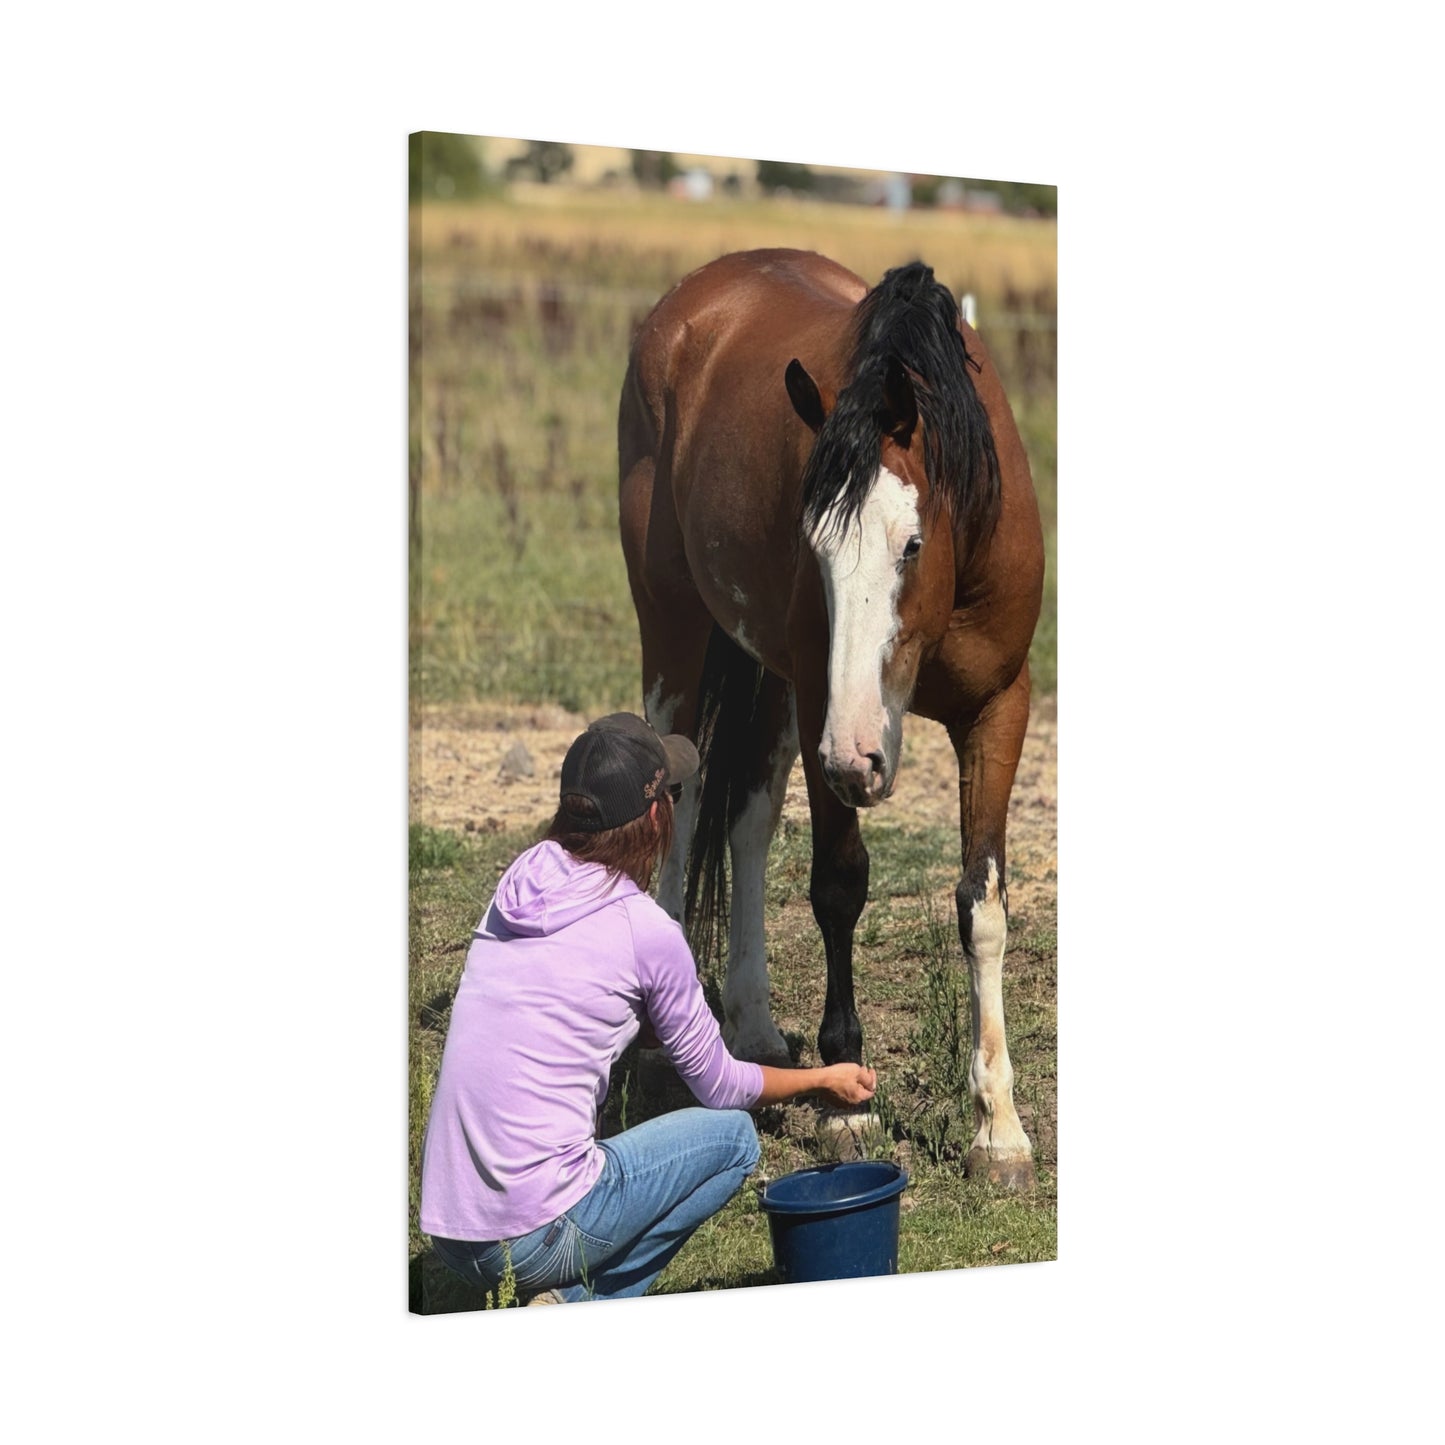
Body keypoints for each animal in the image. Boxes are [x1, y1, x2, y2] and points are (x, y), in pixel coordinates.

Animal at [618, 249, 1044, 1187]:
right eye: (811, 544)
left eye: (910, 544)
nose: (859, 761)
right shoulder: (824, 704)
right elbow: (839, 885)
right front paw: (848, 1101)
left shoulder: (998, 708)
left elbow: (981, 903)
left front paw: (997, 1128)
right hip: (675, 628)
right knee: (682, 802)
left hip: (772, 687)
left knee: (747, 821)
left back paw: (751, 1026)